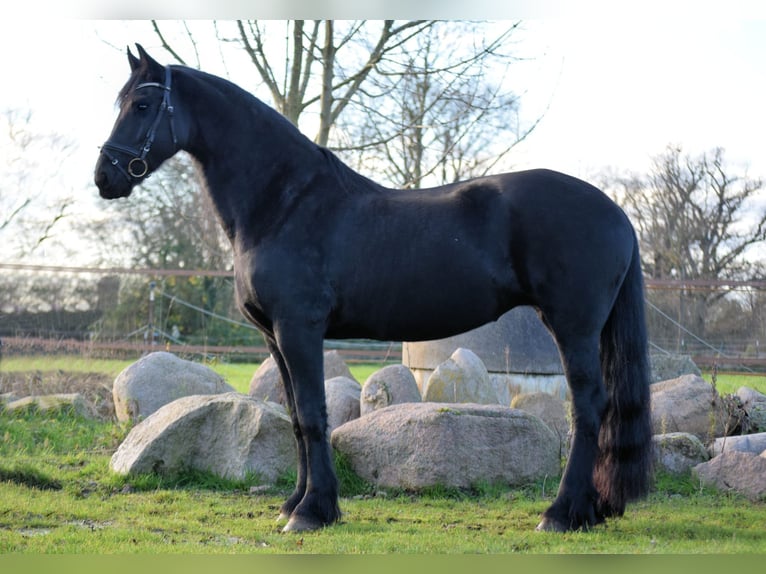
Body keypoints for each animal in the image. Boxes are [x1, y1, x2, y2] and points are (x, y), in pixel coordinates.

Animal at [93, 45, 652, 536]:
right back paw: (589, 510)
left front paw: (312, 512)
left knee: (587, 406)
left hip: (572, 326)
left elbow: (313, 416)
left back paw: (560, 514)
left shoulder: (299, 329)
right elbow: (295, 417)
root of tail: (616, 210)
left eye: (142, 105)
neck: (284, 204)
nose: (105, 177)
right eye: (119, 102)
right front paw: (295, 503)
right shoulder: (275, 338)